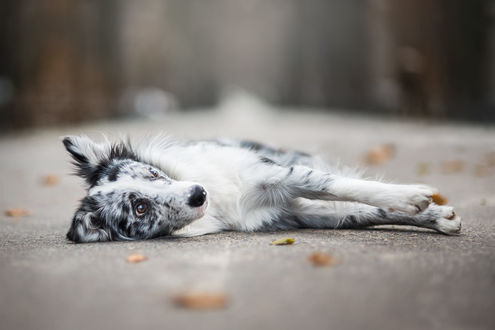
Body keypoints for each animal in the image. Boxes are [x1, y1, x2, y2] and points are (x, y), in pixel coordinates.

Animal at [62, 135, 462, 242]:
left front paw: (415, 199)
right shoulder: (295, 214)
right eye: (140, 208)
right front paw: (424, 208)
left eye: (152, 174)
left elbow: (345, 187)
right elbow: (359, 211)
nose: (198, 194)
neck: (220, 203)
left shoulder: (276, 176)